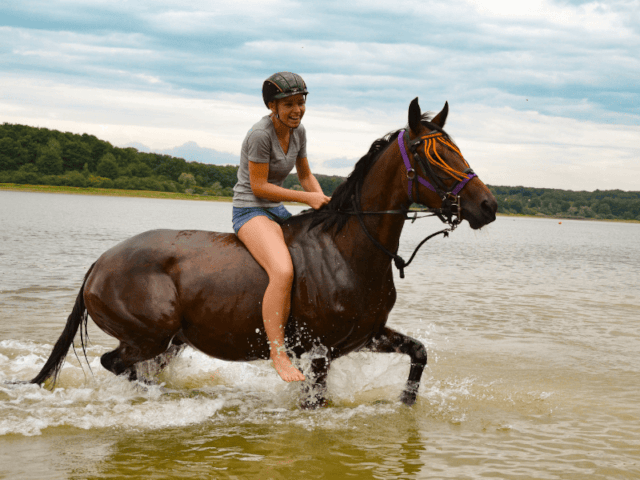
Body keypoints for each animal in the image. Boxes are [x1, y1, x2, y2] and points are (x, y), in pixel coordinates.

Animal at [30, 99, 498, 406]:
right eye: (432, 155)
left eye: (456, 148)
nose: (488, 206)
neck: (349, 251)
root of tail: (100, 263)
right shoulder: (319, 353)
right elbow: (315, 403)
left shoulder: (367, 335)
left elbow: (419, 353)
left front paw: (405, 403)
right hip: (148, 334)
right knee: (116, 363)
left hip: (169, 341)